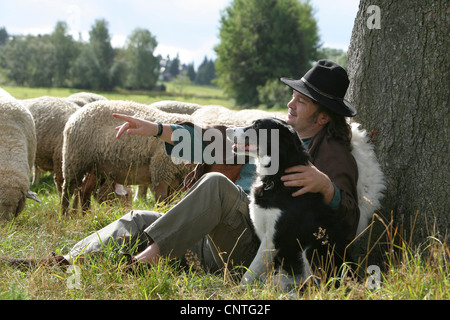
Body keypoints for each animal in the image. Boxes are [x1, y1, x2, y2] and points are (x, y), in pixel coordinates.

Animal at [60, 100, 192, 215]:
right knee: (67, 191)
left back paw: (85, 217)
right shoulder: (161, 170)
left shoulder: (176, 180)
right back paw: (65, 217)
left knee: (84, 191)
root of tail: (77, 113)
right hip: (75, 161)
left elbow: (170, 201)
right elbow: (162, 201)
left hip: (95, 167)